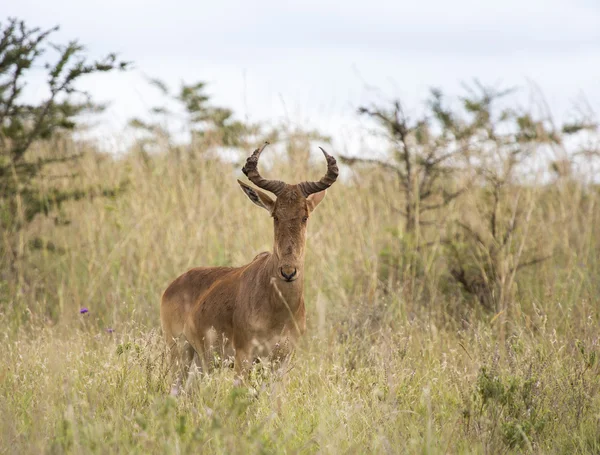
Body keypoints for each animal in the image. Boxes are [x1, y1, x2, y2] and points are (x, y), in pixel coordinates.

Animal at [159, 142, 338, 392]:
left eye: (305, 216)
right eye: (275, 215)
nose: (288, 272)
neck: (278, 308)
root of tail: (173, 285)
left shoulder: (281, 361)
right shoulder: (243, 356)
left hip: (202, 362)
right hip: (179, 352)